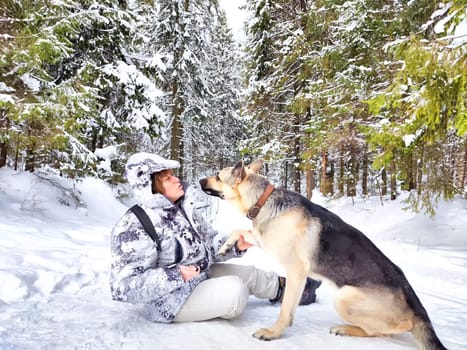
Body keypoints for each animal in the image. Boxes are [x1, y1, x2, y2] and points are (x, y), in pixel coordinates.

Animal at [198, 160, 446, 348]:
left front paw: (273, 333)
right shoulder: (264, 239)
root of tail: (417, 307)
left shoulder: (296, 272)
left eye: (217, 176)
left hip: (344, 297)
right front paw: (226, 246)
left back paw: (347, 328)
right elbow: (240, 231)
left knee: (391, 329)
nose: (199, 180)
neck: (264, 199)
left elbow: (286, 310)